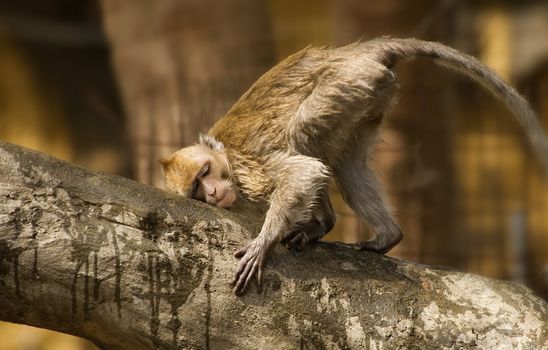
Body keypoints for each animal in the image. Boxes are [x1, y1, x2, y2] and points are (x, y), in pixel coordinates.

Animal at [161, 37, 548, 296]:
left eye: (204, 174)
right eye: (196, 190)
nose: (212, 194)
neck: (227, 159)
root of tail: (352, 52)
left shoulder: (248, 171)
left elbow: (303, 173)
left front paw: (263, 243)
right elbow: (313, 173)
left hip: (346, 82)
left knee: (304, 135)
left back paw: (326, 223)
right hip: (367, 96)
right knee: (345, 166)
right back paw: (380, 233)